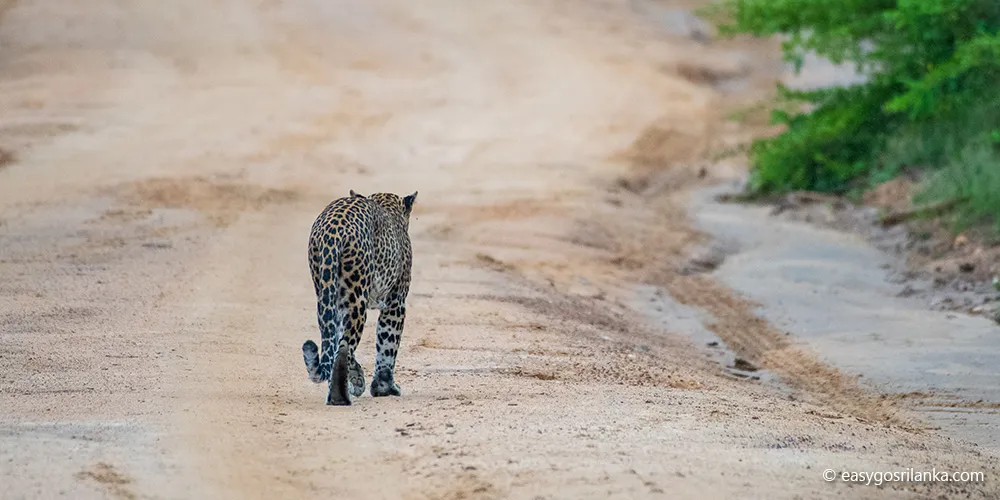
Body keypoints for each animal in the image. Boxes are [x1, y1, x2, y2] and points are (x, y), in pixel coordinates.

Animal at [301, 189, 417, 406]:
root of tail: (332, 230)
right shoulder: (396, 303)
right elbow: (388, 345)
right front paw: (384, 387)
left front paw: (358, 379)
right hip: (357, 300)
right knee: (344, 347)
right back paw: (339, 397)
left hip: (326, 292)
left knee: (337, 344)